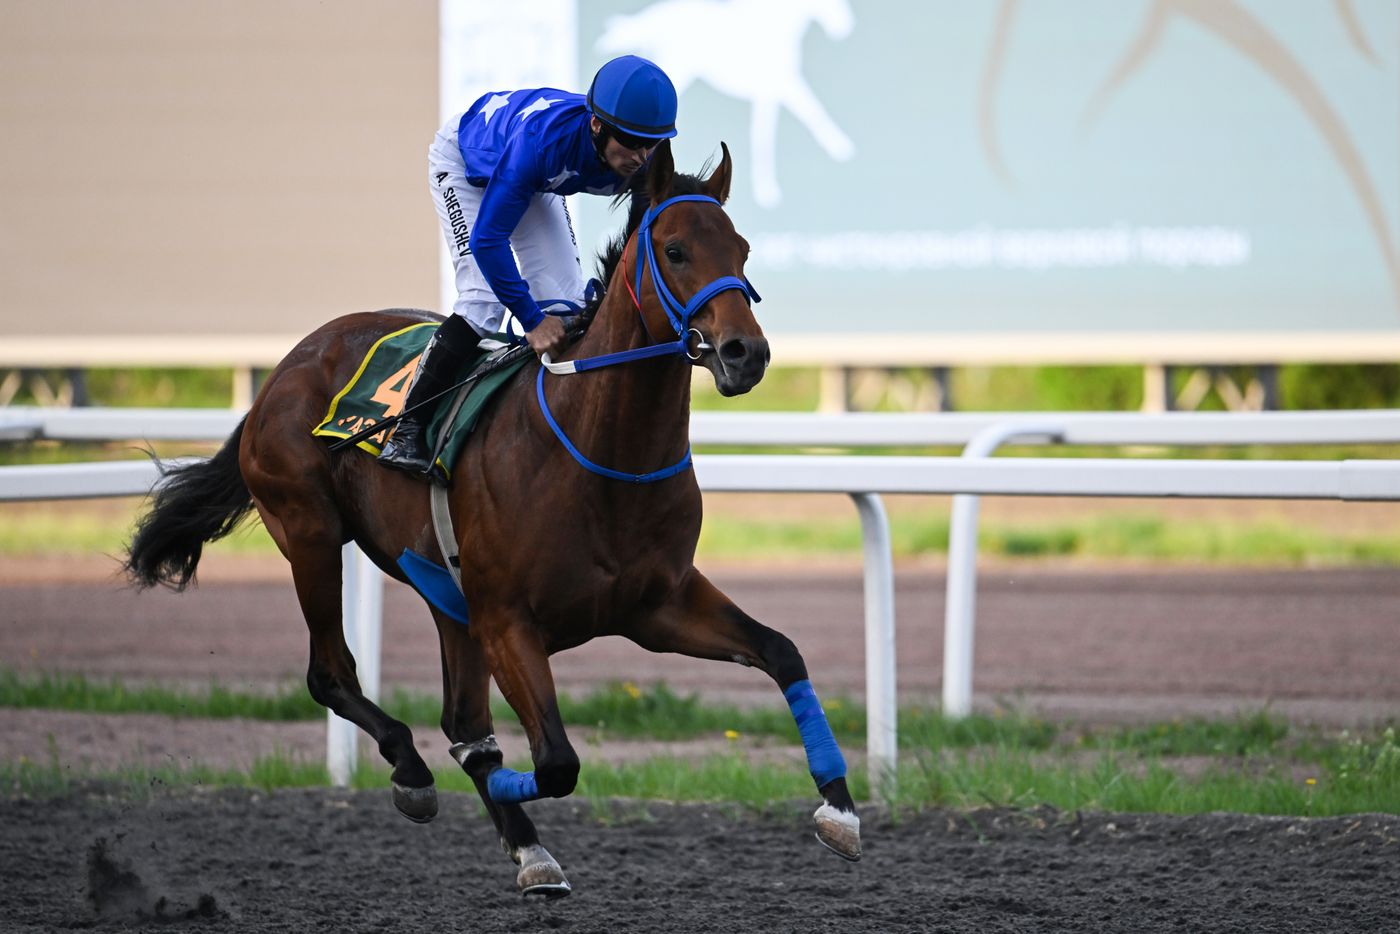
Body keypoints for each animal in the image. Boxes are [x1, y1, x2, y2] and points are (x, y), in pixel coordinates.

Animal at [123, 141, 861, 898]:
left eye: (741, 249)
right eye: (677, 250)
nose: (746, 353)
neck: (600, 455)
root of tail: (285, 367)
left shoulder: (657, 606)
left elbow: (781, 650)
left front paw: (839, 809)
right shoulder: (508, 618)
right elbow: (556, 761)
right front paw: (489, 787)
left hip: (446, 595)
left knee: (461, 716)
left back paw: (522, 842)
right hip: (311, 534)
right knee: (334, 674)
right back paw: (414, 772)